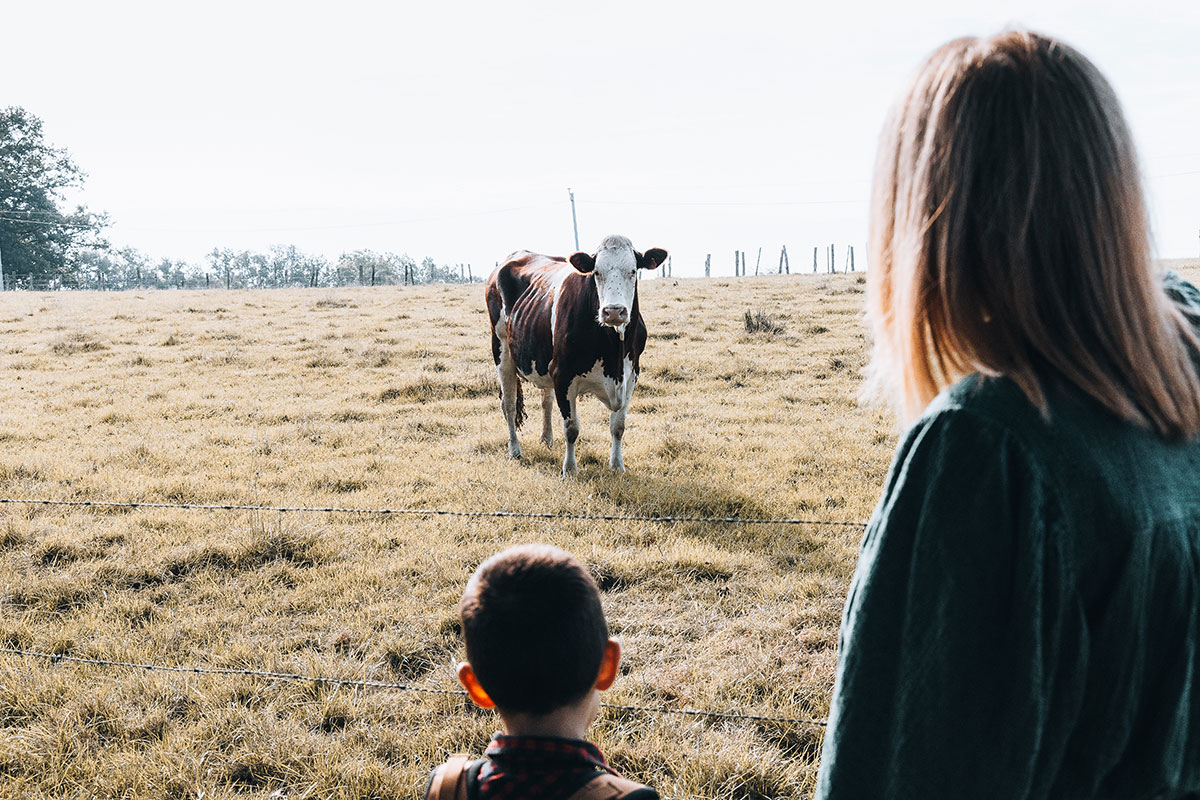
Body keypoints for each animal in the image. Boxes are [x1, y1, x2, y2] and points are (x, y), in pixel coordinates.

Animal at [492, 236, 672, 474]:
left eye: (633, 271)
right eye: (596, 272)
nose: (614, 311)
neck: (614, 353)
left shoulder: (631, 374)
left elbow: (618, 426)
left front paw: (617, 465)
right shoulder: (562, 375)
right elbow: (571, 428)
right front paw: (569, 469)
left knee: (546, 401)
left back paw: (547, 439)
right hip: (502, 350)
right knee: (509, 404)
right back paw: (514, 449)